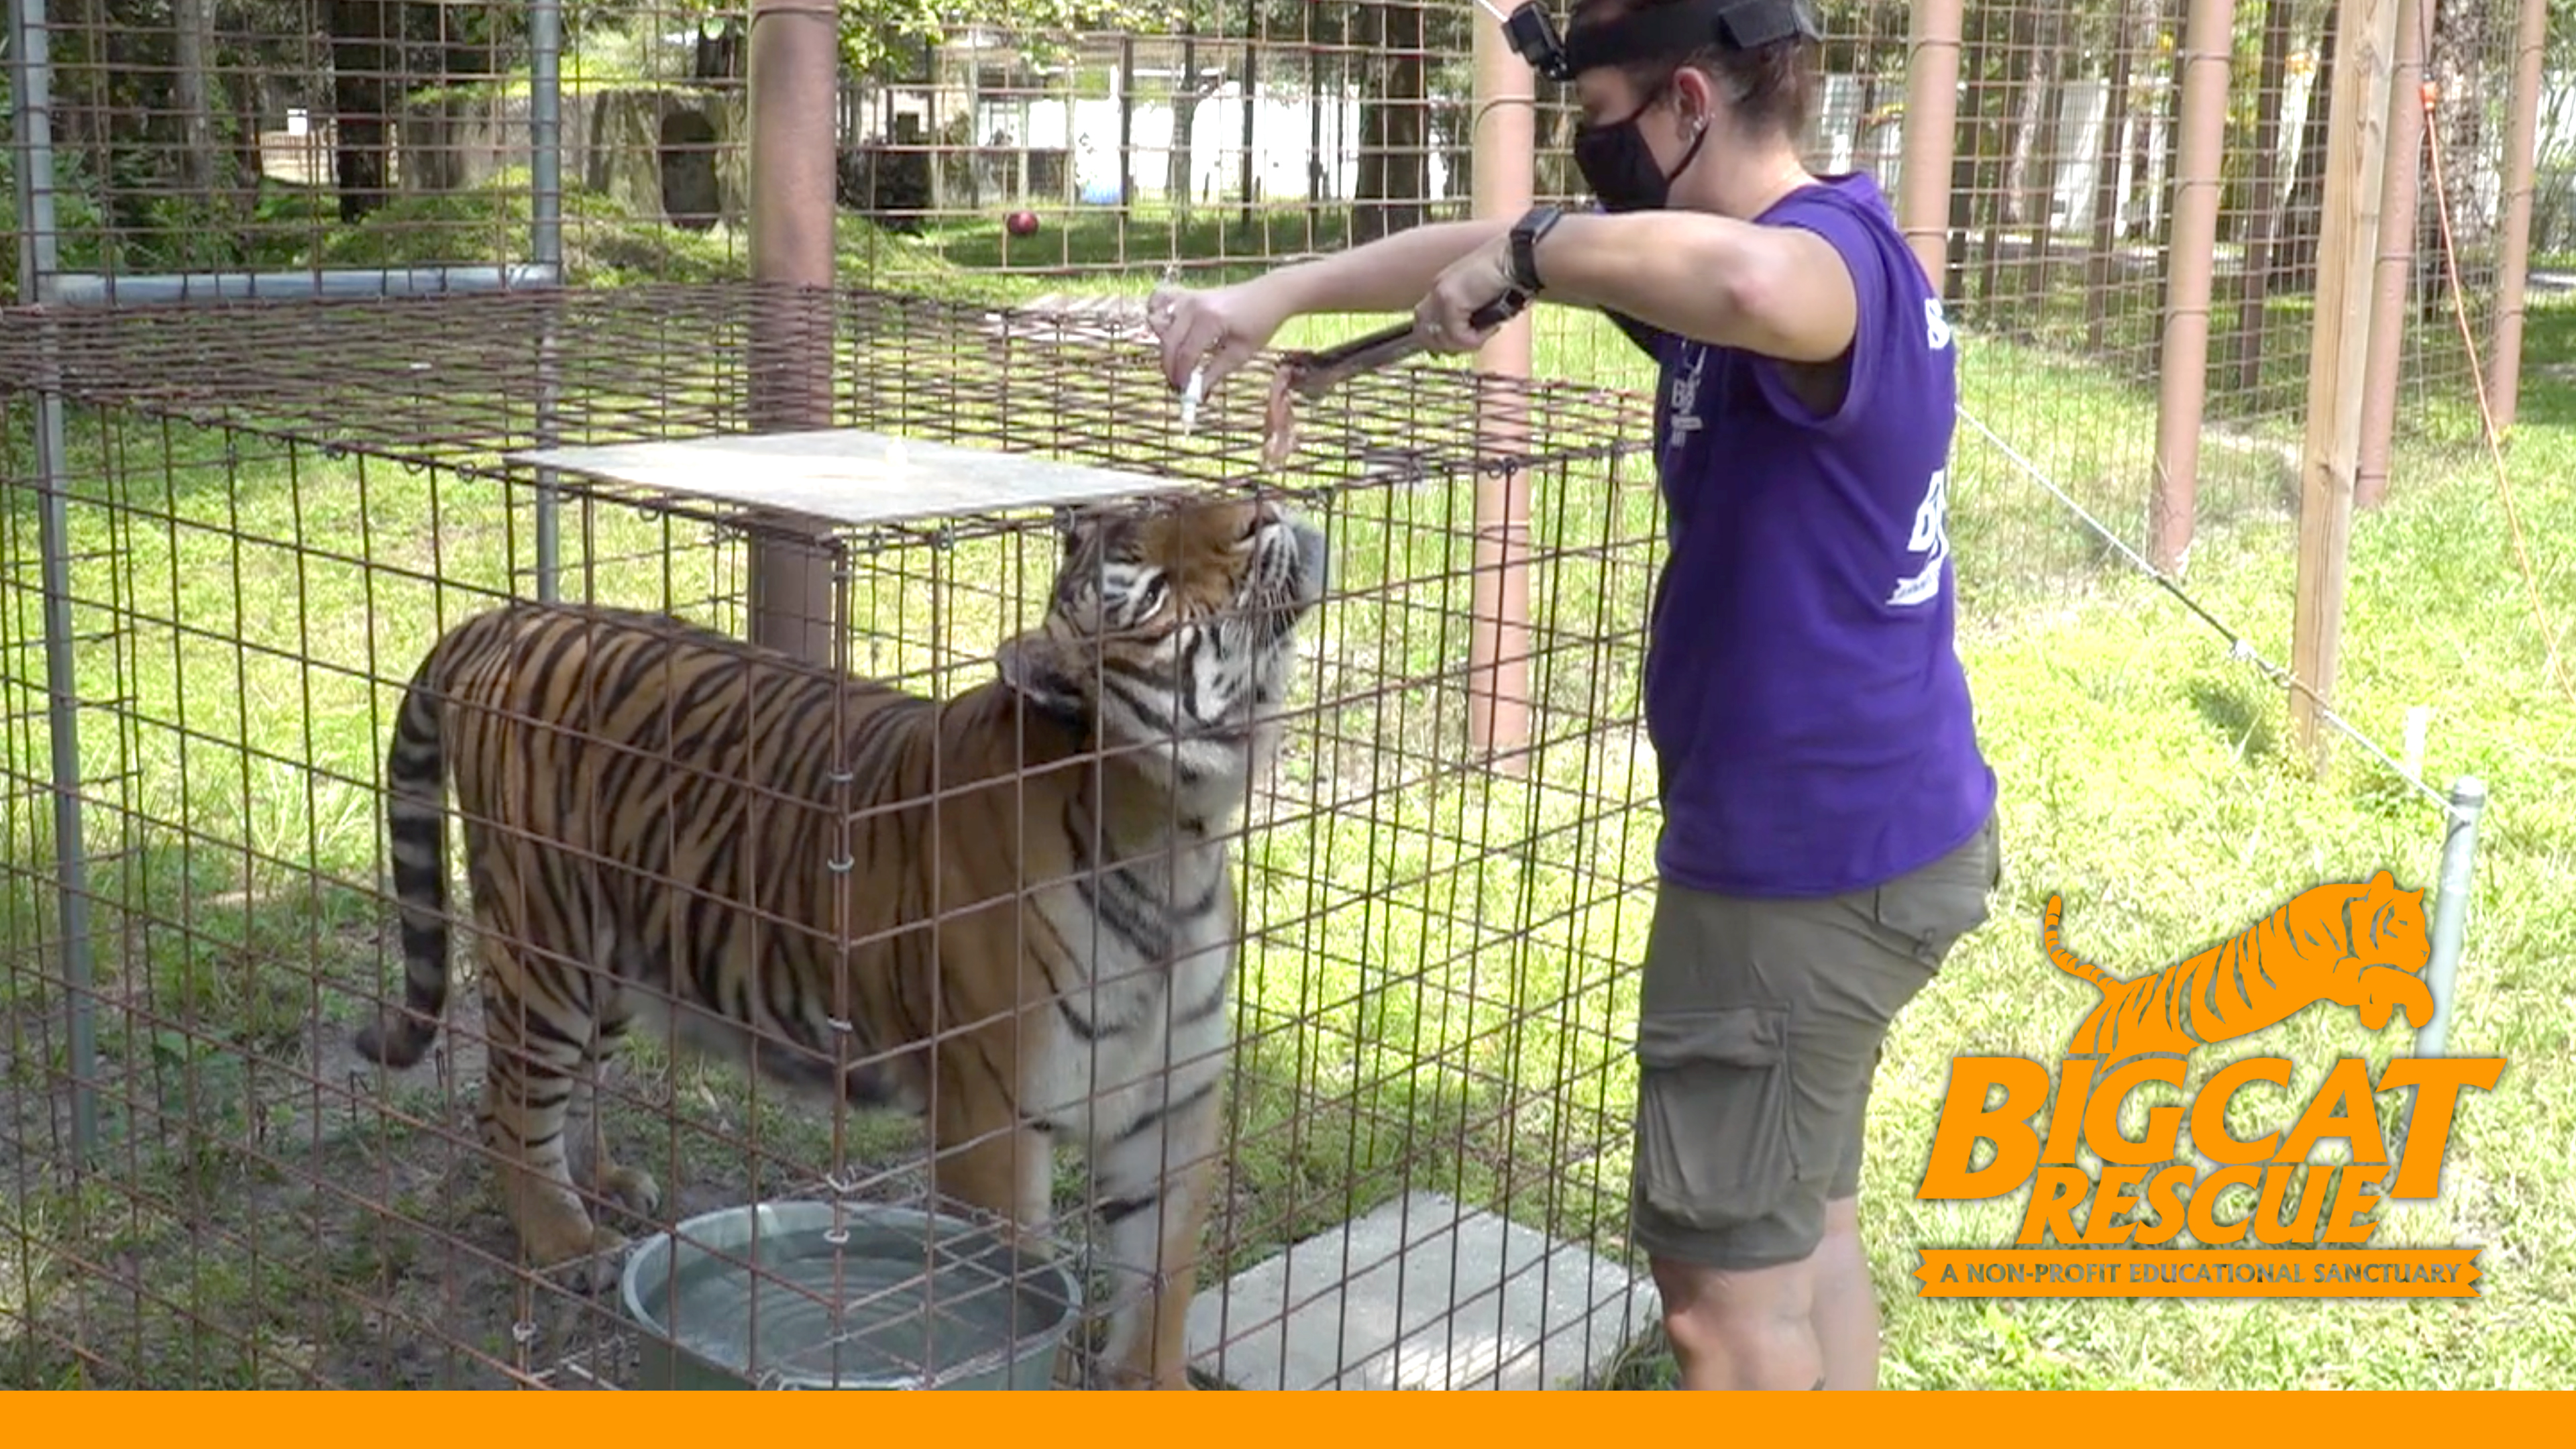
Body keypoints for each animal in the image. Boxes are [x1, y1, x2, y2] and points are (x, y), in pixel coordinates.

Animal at [351, 492, 1330, 1391]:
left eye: (1189, 503)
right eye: (1150, 582)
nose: (1263, 507)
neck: (1174, 834)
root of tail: (511, 616)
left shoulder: (1173, 1105)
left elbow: (1160, 1289)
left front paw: (1152, 1383)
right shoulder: (992, 1125)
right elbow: (1014, 1277)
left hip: (614, 965)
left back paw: (609, 1185)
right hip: (548, 949)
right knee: (508, 1109)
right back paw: (566, 1242)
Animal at [2041, 869, 2435, 1061]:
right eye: (2403, 925)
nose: (2426, 954)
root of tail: (2117, 989)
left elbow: (2381, 980)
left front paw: (2377, 1015)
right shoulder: (2337, 973)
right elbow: (2389, 976)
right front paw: (2421, 1006)